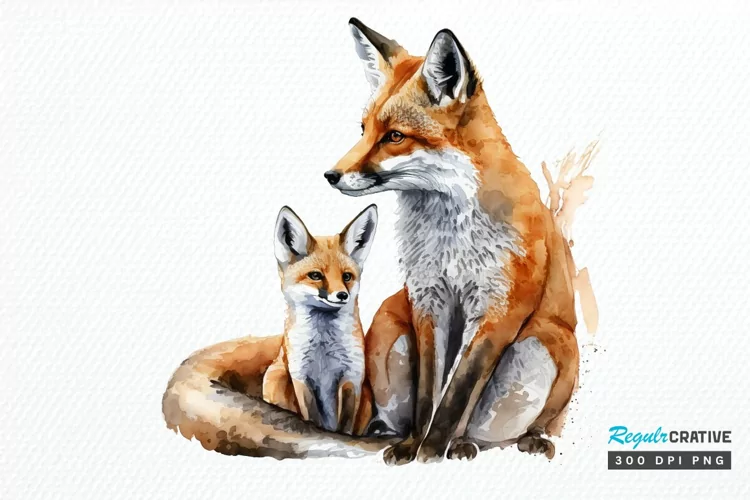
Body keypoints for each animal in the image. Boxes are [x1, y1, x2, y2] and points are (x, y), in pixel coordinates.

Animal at [261, 205, 378, 435]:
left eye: (347, 277)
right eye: (316, 276)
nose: (342, 295)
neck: (324, 348)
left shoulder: (352, 376)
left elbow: (346, 425)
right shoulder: (301, 377)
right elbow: (312, 418)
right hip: (274, 378)